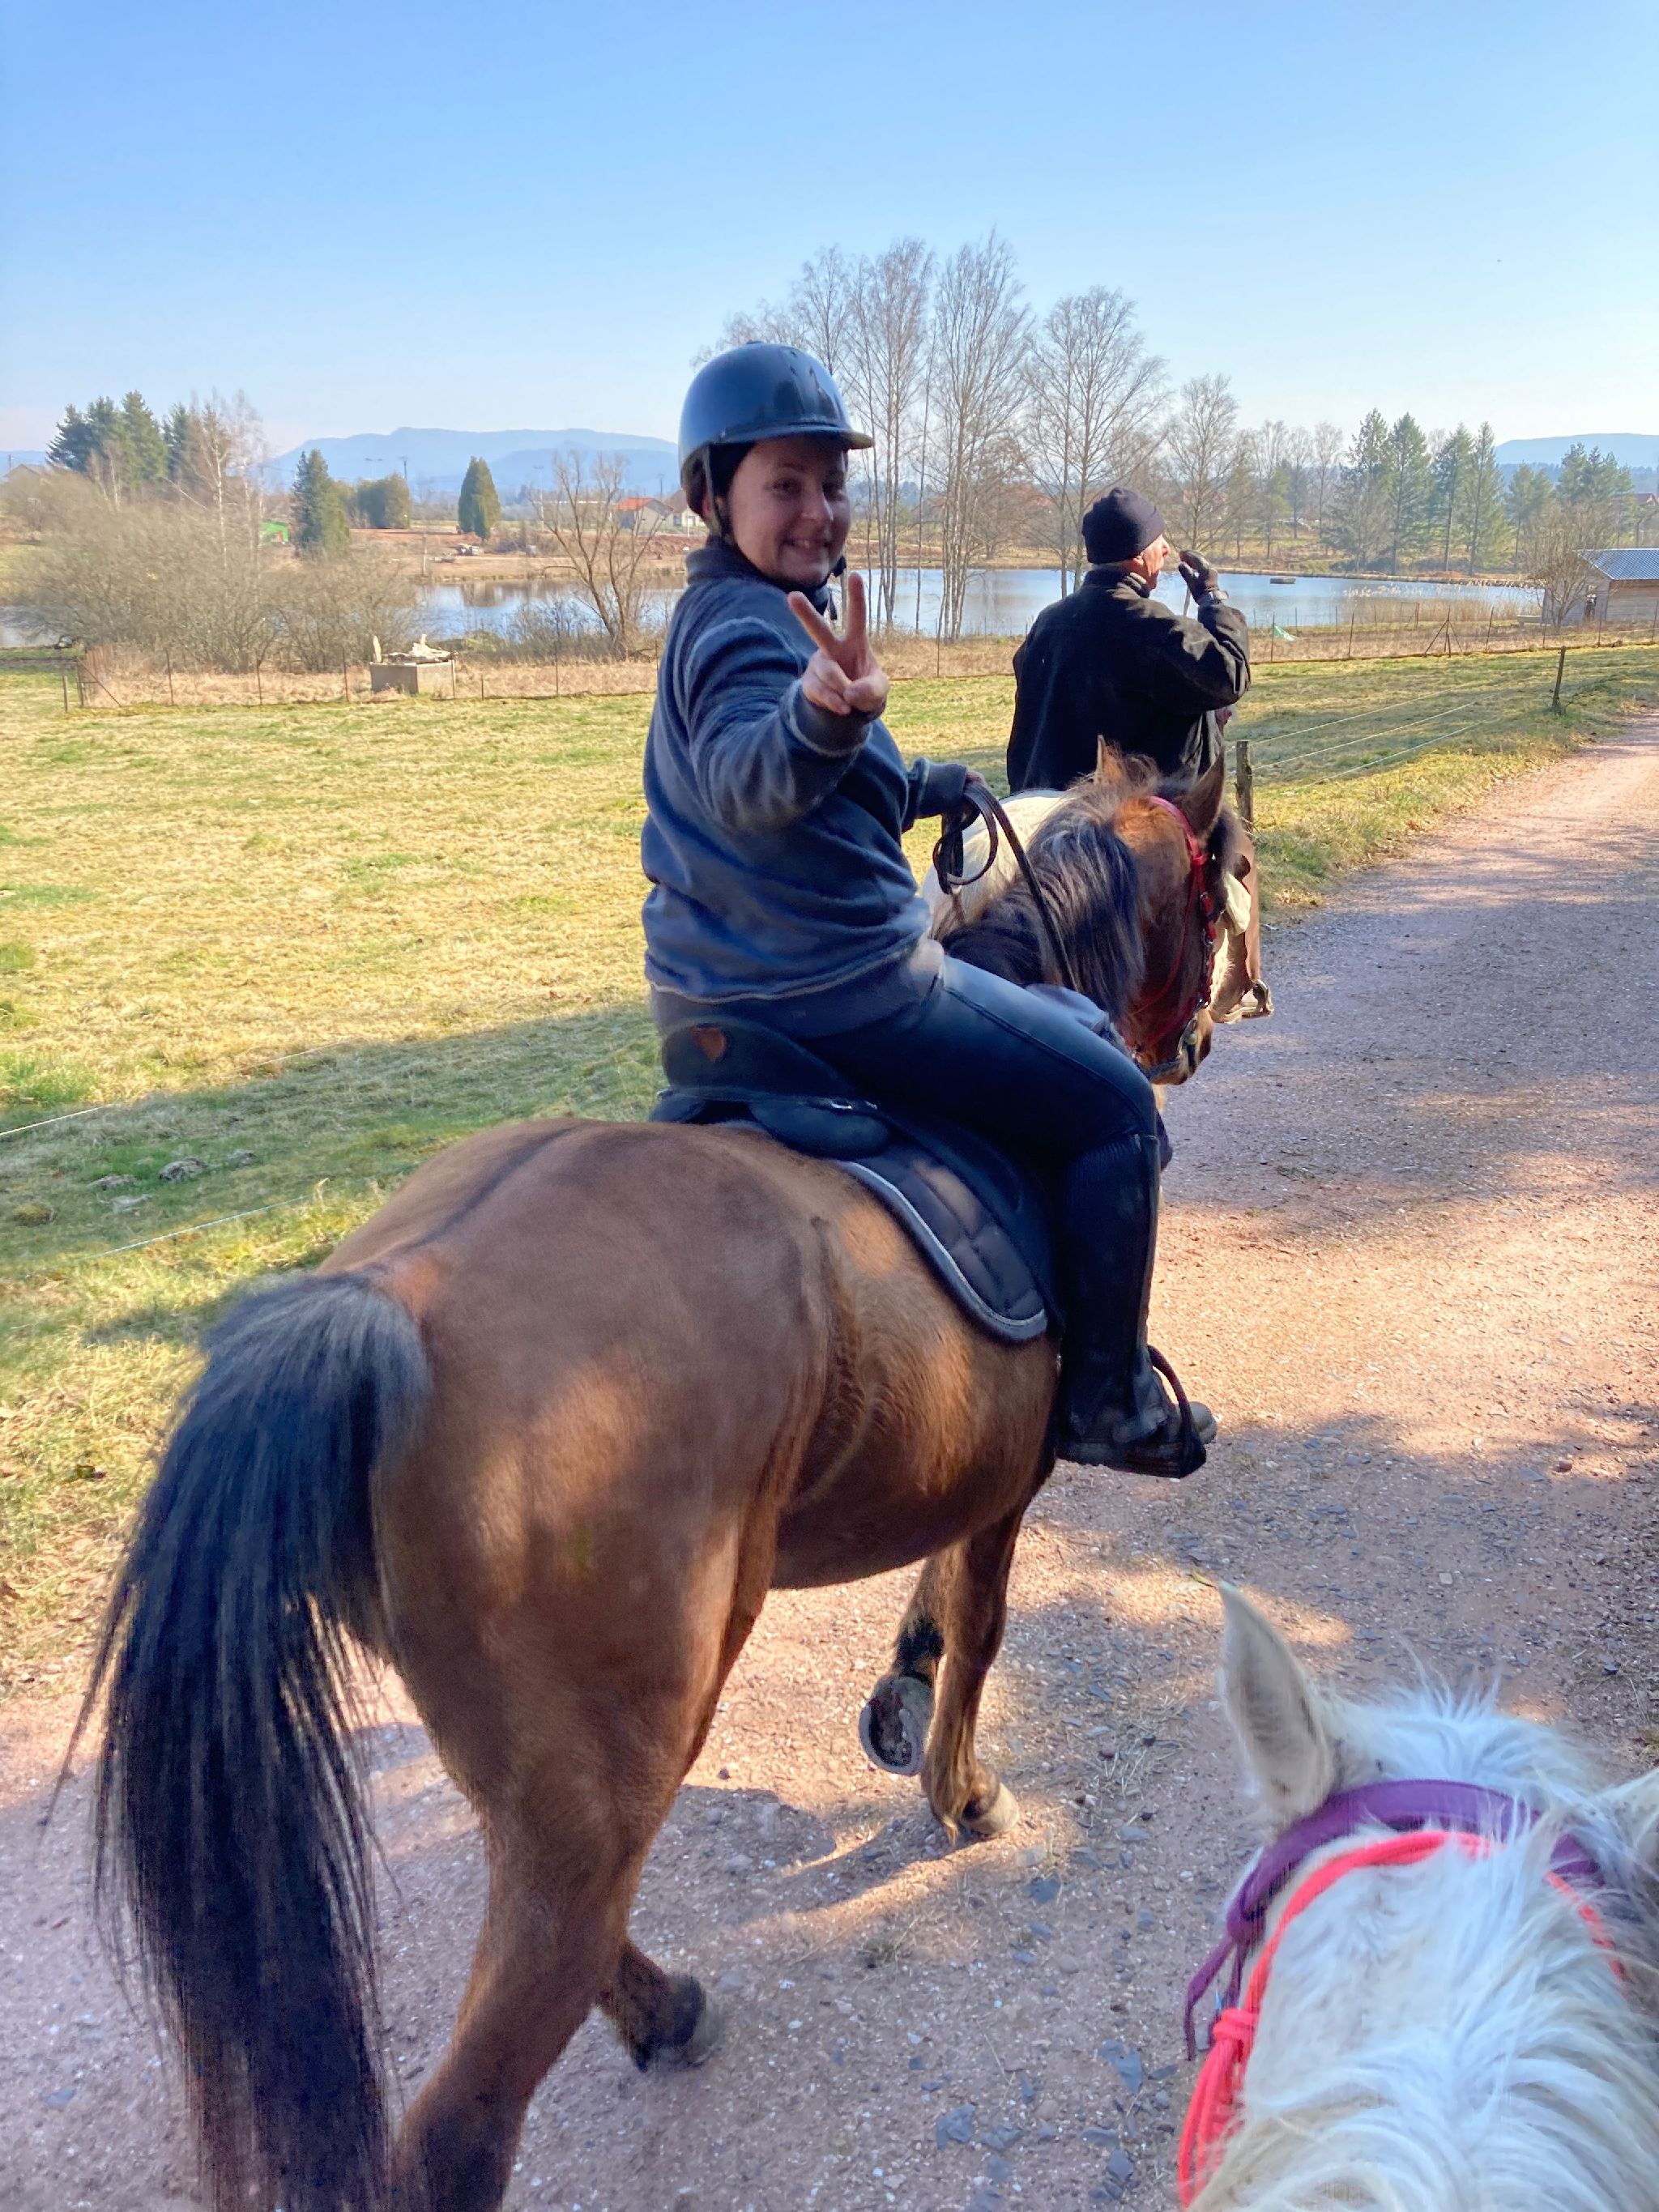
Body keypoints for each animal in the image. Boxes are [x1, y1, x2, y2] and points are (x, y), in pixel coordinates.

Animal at [83, 751, 1239, 2212]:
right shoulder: (1006, 1489)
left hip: (540, 1771)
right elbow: (982, 1629)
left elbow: (937, 1610)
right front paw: (960, 1789)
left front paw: (900, 1687)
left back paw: (662, 2004)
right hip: (622, 1742)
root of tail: (388, 1304)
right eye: (1222, 876)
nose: (1207, 1032)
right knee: (473, 2098)